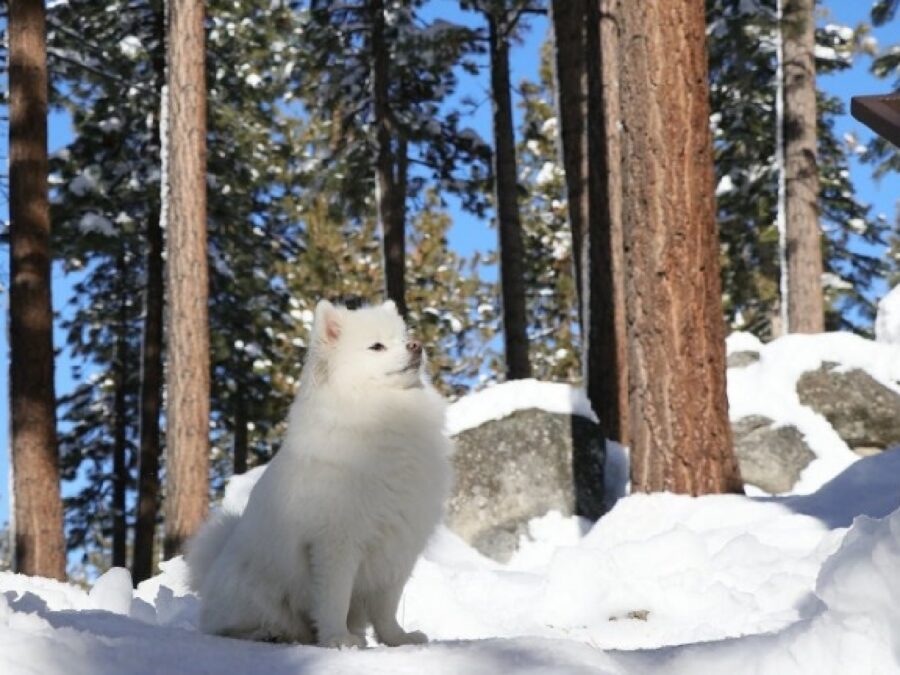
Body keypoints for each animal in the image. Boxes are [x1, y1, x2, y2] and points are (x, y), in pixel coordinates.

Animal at [185, 302, 450, 648]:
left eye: (403, 337)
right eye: (377, 346)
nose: (416, 345)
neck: (385, 415)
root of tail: (213, 568)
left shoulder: (399, 542)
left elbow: (386, 605)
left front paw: (398, 638)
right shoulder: (335, 544)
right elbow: (334, 600)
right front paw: (339, 639)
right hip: (257, 592)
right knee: (228, 626)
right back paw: (269, 634)